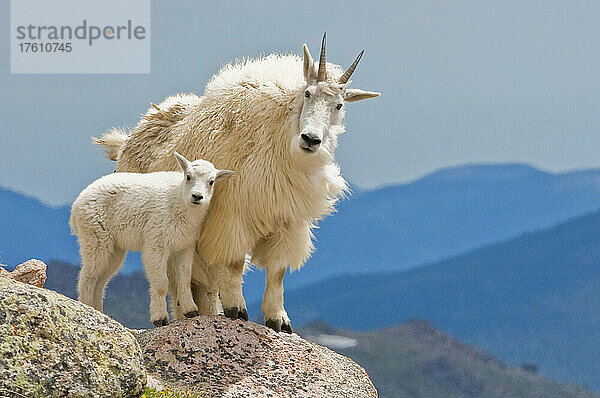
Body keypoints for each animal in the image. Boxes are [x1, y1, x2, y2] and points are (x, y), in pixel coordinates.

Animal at [97, 35, 380, 332]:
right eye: (307, 93)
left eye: (338, 105)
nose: (311, 139)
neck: (279, 142)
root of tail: (128, 138)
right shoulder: (233, 214)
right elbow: (233, 264)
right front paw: (237, 309)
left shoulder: (288, 220)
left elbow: (278, 271)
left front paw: (278, 319)